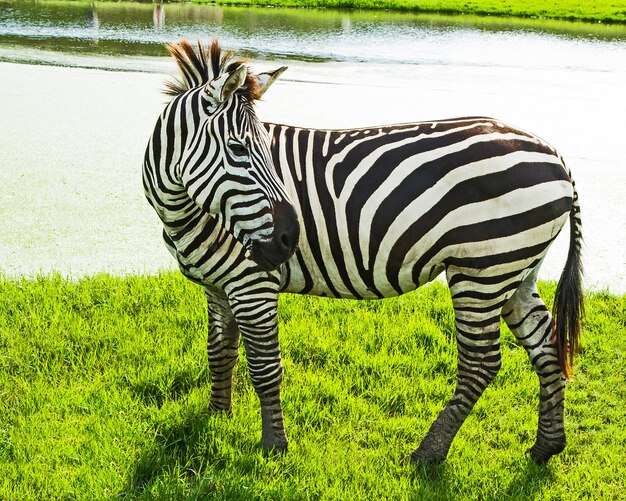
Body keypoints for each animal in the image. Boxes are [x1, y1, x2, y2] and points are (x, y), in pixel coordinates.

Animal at [141, 39, 580, 464]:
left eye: (264, 147)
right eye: (239, 149)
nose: (289, 237)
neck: (183, 209)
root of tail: (558, 158)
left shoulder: (252, 282)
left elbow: (265, 367)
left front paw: (273, 446)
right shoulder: (218, 284)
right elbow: (220, 352)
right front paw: (216, 418)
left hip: (481, 270)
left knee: (481, 364)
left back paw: (427, 454)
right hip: (515, 269)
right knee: (547, 346)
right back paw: (547, 447)